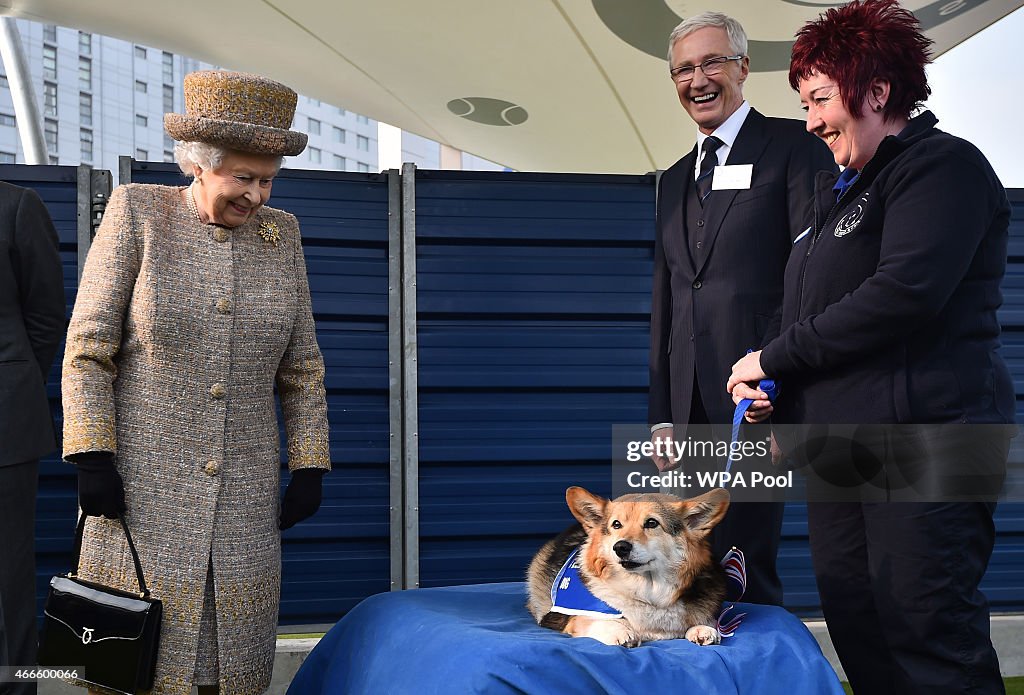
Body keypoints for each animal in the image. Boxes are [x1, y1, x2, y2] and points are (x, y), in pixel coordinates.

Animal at [528, 489, 729, 646]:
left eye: (652, 523)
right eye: (616, 524)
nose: (620, 547)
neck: (647, 592)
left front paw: (703, 628)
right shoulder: (570, 617)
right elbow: (593, 619)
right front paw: (620, 631)